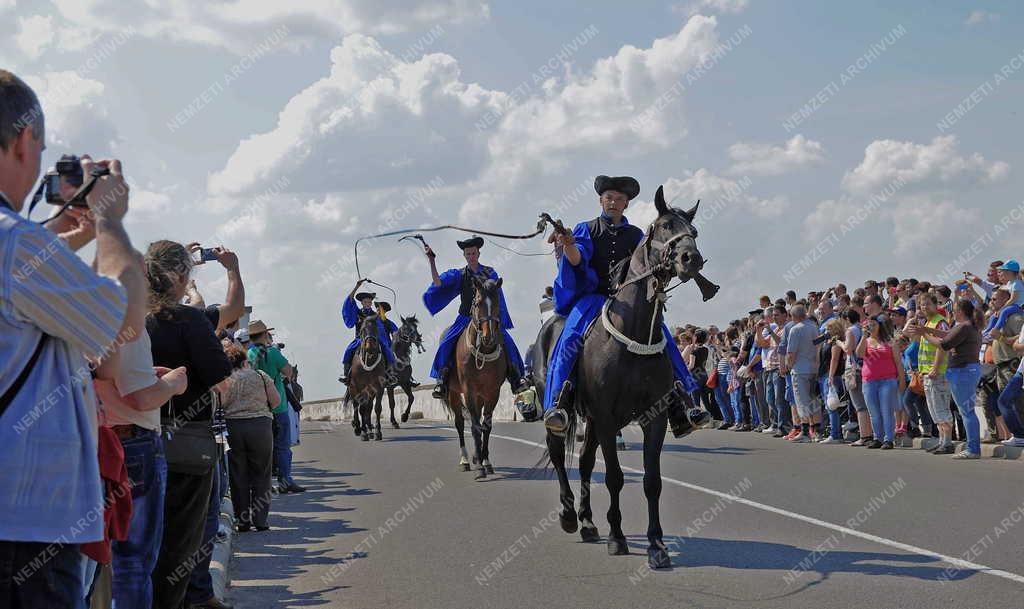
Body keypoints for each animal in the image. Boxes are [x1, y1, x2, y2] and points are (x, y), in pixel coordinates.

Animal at [348, 315, 387, 444]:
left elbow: (377, 408)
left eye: (377, 329)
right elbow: (361, 410)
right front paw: (363, 433)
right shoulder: (358, 387)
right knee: (356, 407)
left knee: (368, 409)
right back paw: (357, 428)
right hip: (352, 389)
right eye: (362, 330)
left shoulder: (379, 387)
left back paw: (369, 430)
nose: (370, 347)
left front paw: (377, 432)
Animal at [444, 274, 507, 479]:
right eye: (478, 303)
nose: (489, 337)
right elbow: (474, 426)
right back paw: (465, 459)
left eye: (497, 303)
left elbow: (486, 426)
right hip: (454, 394)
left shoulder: (492, 392)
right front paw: (479, 466)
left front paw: (485, 461)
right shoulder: (468, 390)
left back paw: (474, 456)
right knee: (460, 423)